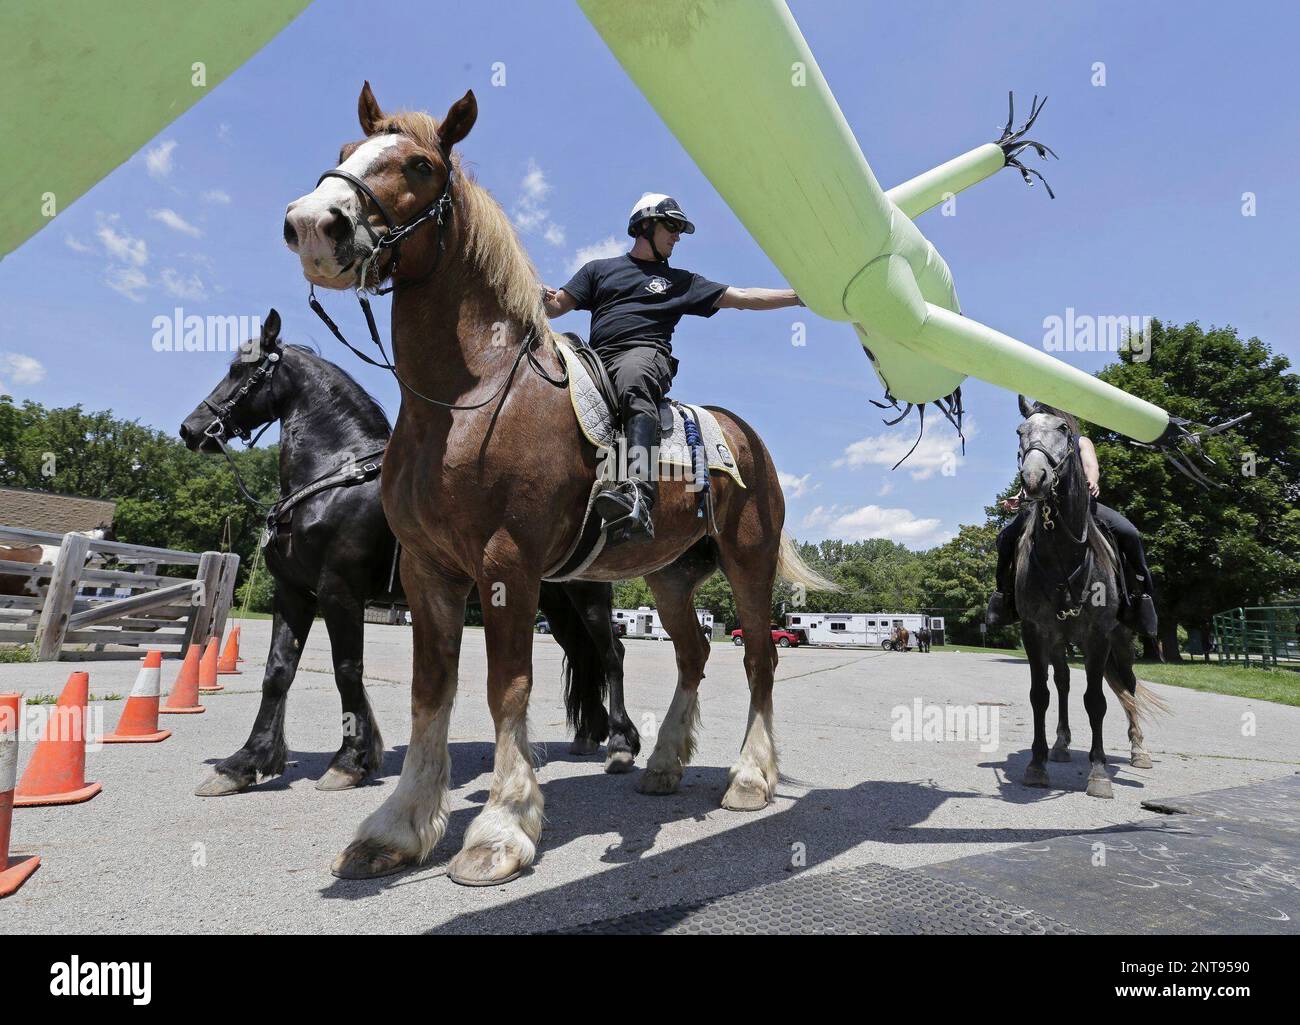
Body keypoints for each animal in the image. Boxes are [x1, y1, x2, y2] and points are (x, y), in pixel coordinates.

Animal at [178, 309, 629, 795]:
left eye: (240, 370)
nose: (191, 429)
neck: (335, 477)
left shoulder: (339, 591)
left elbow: (347, 668)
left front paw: (351, 760)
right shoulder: (293, 593)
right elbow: (277, 673)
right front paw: (244, 762)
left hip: (587, 597)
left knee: (611, 654)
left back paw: (622, 743)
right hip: (552, 602)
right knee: (583, 655)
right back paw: (589, 735)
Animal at [283, 83, 835, 884]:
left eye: (418, 164)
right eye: (345, 153)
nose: (311, 224)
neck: (468, 396)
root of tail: (744, 436)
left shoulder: (507, 563)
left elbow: (506, 685)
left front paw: (500, 829)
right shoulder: (427, 570)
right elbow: (429, 692)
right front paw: (398, 827)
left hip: (749, 561)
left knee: (759, 656)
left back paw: (749, 777)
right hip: (670, 575)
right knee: (693, 656)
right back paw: (663, 763)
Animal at [1012, 395, 1164, 799]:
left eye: (1064, 429)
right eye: (1020, 431)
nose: (1033, 479)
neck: (1064, 554)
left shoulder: (1099, 636)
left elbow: (1096, 702)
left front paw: (1098, 773)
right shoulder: (1035, 632)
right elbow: (1040, 695)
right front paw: (1037, 764)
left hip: (1121, 642)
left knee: (1129, 687)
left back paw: (1139, 750)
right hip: (1059, 641)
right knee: (1064, 683)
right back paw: (1062, 745)